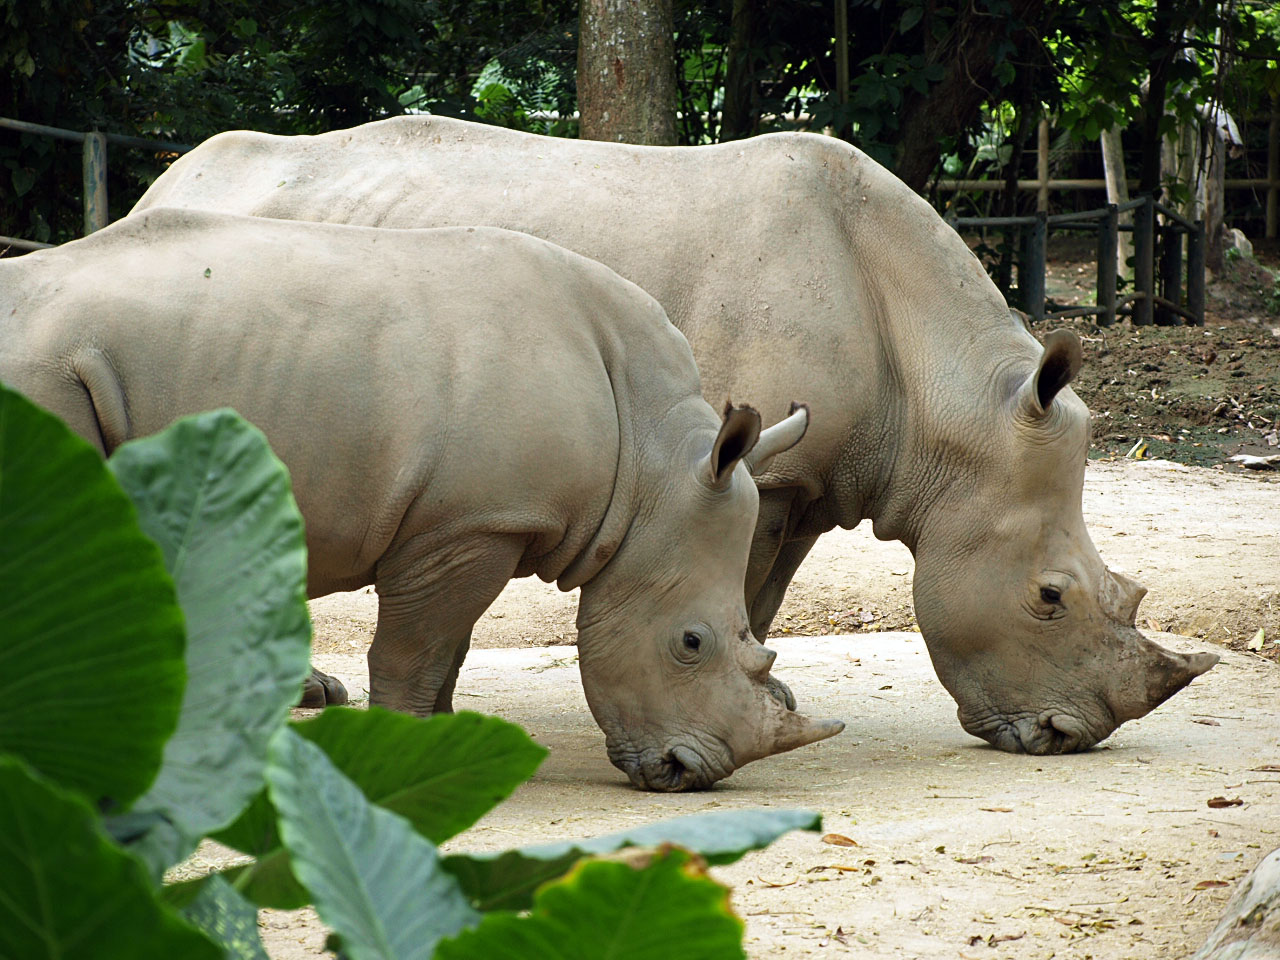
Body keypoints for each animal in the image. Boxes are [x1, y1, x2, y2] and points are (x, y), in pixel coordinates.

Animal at [0, 208, 843, 790]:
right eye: (691, 643)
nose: (687, 773)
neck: (649, 468)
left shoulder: (480, 523)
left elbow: (450, 646)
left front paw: (443, 742)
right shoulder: (468, 524)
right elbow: (414, 649)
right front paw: (399, 753)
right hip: (46, 372)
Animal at [131, 117, 1218, 754]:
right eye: (1048, 597)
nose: (1067, 737)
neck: (948, 411)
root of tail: (162, 183)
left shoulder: (806, 476)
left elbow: (760, 598)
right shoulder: (759, 471)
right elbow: (741, 590)